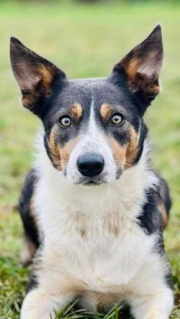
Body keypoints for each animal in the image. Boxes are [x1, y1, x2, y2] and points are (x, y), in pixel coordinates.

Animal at [10, 25, 174, 319]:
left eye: (117, 118)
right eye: (65, 120)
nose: (89, 165)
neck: (97, 208)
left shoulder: (156, 292)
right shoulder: (42, 292)